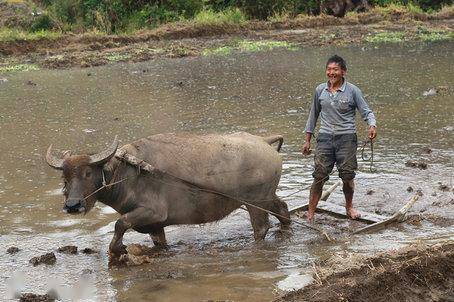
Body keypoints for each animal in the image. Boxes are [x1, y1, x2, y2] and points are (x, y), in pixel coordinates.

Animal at [45, 133, 288, 255]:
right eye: (65, 176)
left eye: (87, 173)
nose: (73, 205)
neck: (127, 172)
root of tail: (264, 142)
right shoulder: (155, 225)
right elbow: (158, 242)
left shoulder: (153, 213)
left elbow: (120, 224)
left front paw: (117, 250)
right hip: (268, 197)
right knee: (283, 209)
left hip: (255, 202)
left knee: (261, 228)